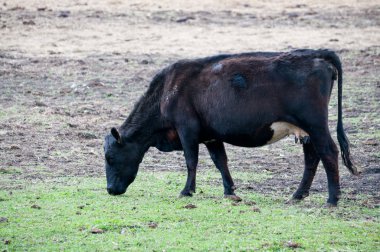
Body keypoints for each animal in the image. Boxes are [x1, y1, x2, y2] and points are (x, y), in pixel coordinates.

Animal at [103, 49, 356, 207]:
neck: (167, 89)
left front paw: (187, 190)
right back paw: (297, 195)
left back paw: (332, 199)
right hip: (305, 131)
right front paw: (229, 191)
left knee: (329, 152)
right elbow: (220, 162)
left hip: (315, 125)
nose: (110, 190)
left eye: (110, 157)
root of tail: (313, 54)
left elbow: (191, 161)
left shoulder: (187, 129)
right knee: (311, 158)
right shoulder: (211, 136)